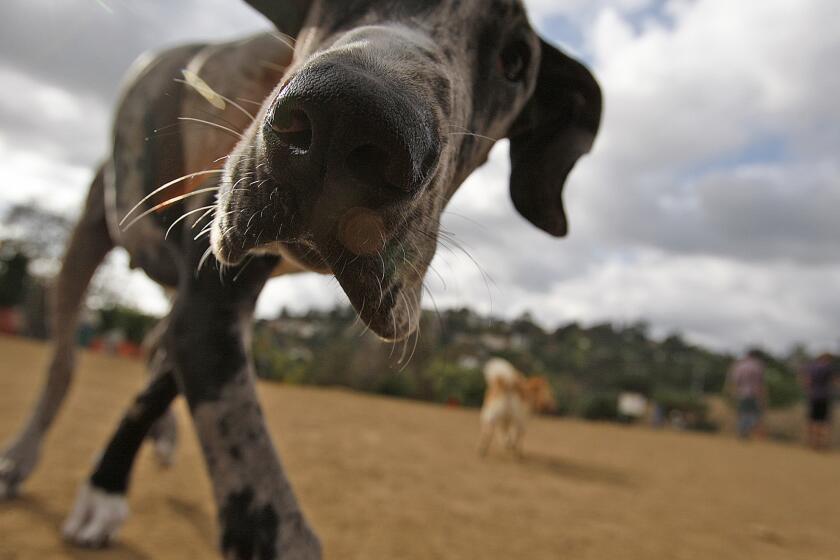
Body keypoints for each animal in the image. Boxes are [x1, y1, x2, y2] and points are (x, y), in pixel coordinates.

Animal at [1, 2, 604, 556]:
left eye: (514, 60)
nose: (348, 118)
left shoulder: (213, 308)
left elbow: (160, 379)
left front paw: (112, 478)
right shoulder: (209, 302)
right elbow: (267, 513)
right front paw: (105, 490)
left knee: (151, 343)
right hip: (88, 229)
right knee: (63, 363)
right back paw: (23, 457)